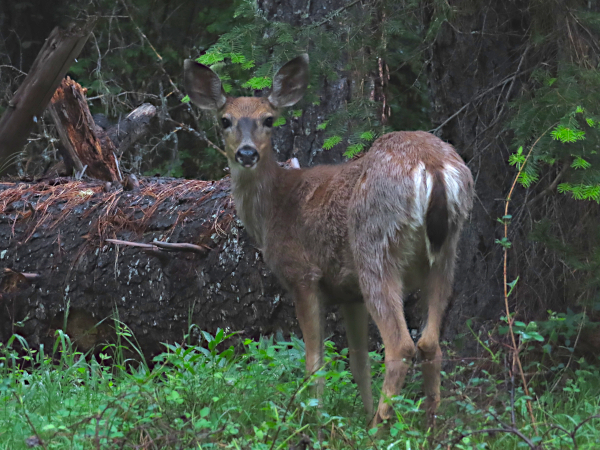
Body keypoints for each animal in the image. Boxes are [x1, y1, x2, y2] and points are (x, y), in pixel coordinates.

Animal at [183, 54, 474, 428]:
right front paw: (353, 415)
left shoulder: (302, 274)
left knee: (400, 345)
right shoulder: (348, 292)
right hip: (447, 251)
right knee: (429, 342)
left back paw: (377, 429)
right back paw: (428, 426)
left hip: (374, 246)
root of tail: (433, 166)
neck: (275, 208)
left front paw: (313, 420)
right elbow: (358, 362)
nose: (246, 153)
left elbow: (315, 361)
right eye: (225, 120)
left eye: (268, 119)